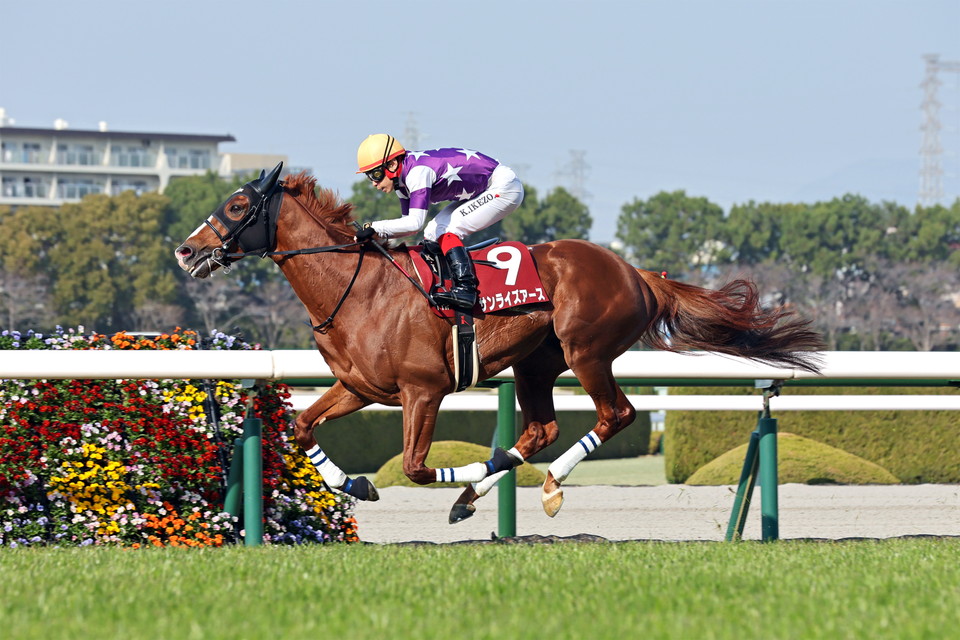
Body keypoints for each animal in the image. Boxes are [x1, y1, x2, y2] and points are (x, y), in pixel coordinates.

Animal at [175, 163, 823, 523]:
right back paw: (479, 494)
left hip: (587, 352)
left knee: (616, 414)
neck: (357, 288)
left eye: (237, 205)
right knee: (541, 430)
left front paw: (445, 480)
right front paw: (356, 483)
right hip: (539, 364)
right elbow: (305, 427)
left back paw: (548, 487)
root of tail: (637, 273)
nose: (185, 250)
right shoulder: (361, 387)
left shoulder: (424, 391)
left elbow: (414, 467)